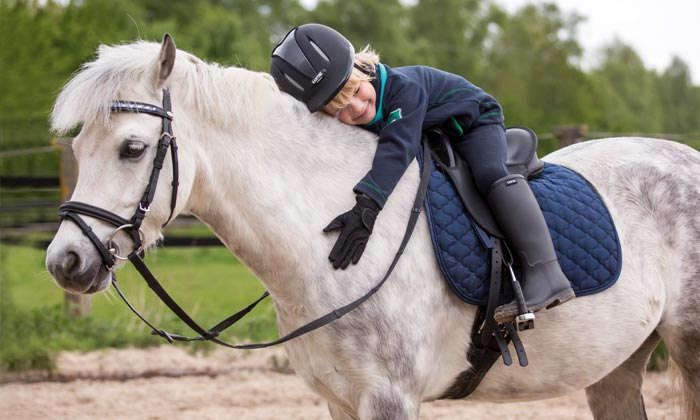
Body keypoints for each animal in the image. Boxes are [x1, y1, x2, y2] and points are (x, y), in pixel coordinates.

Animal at [45, 37, 700, 420]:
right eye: (78, 148)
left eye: (132, 149)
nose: (65, 263)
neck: (315, 243)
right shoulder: (341, 399)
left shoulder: (389, 399)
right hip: (617, 368)